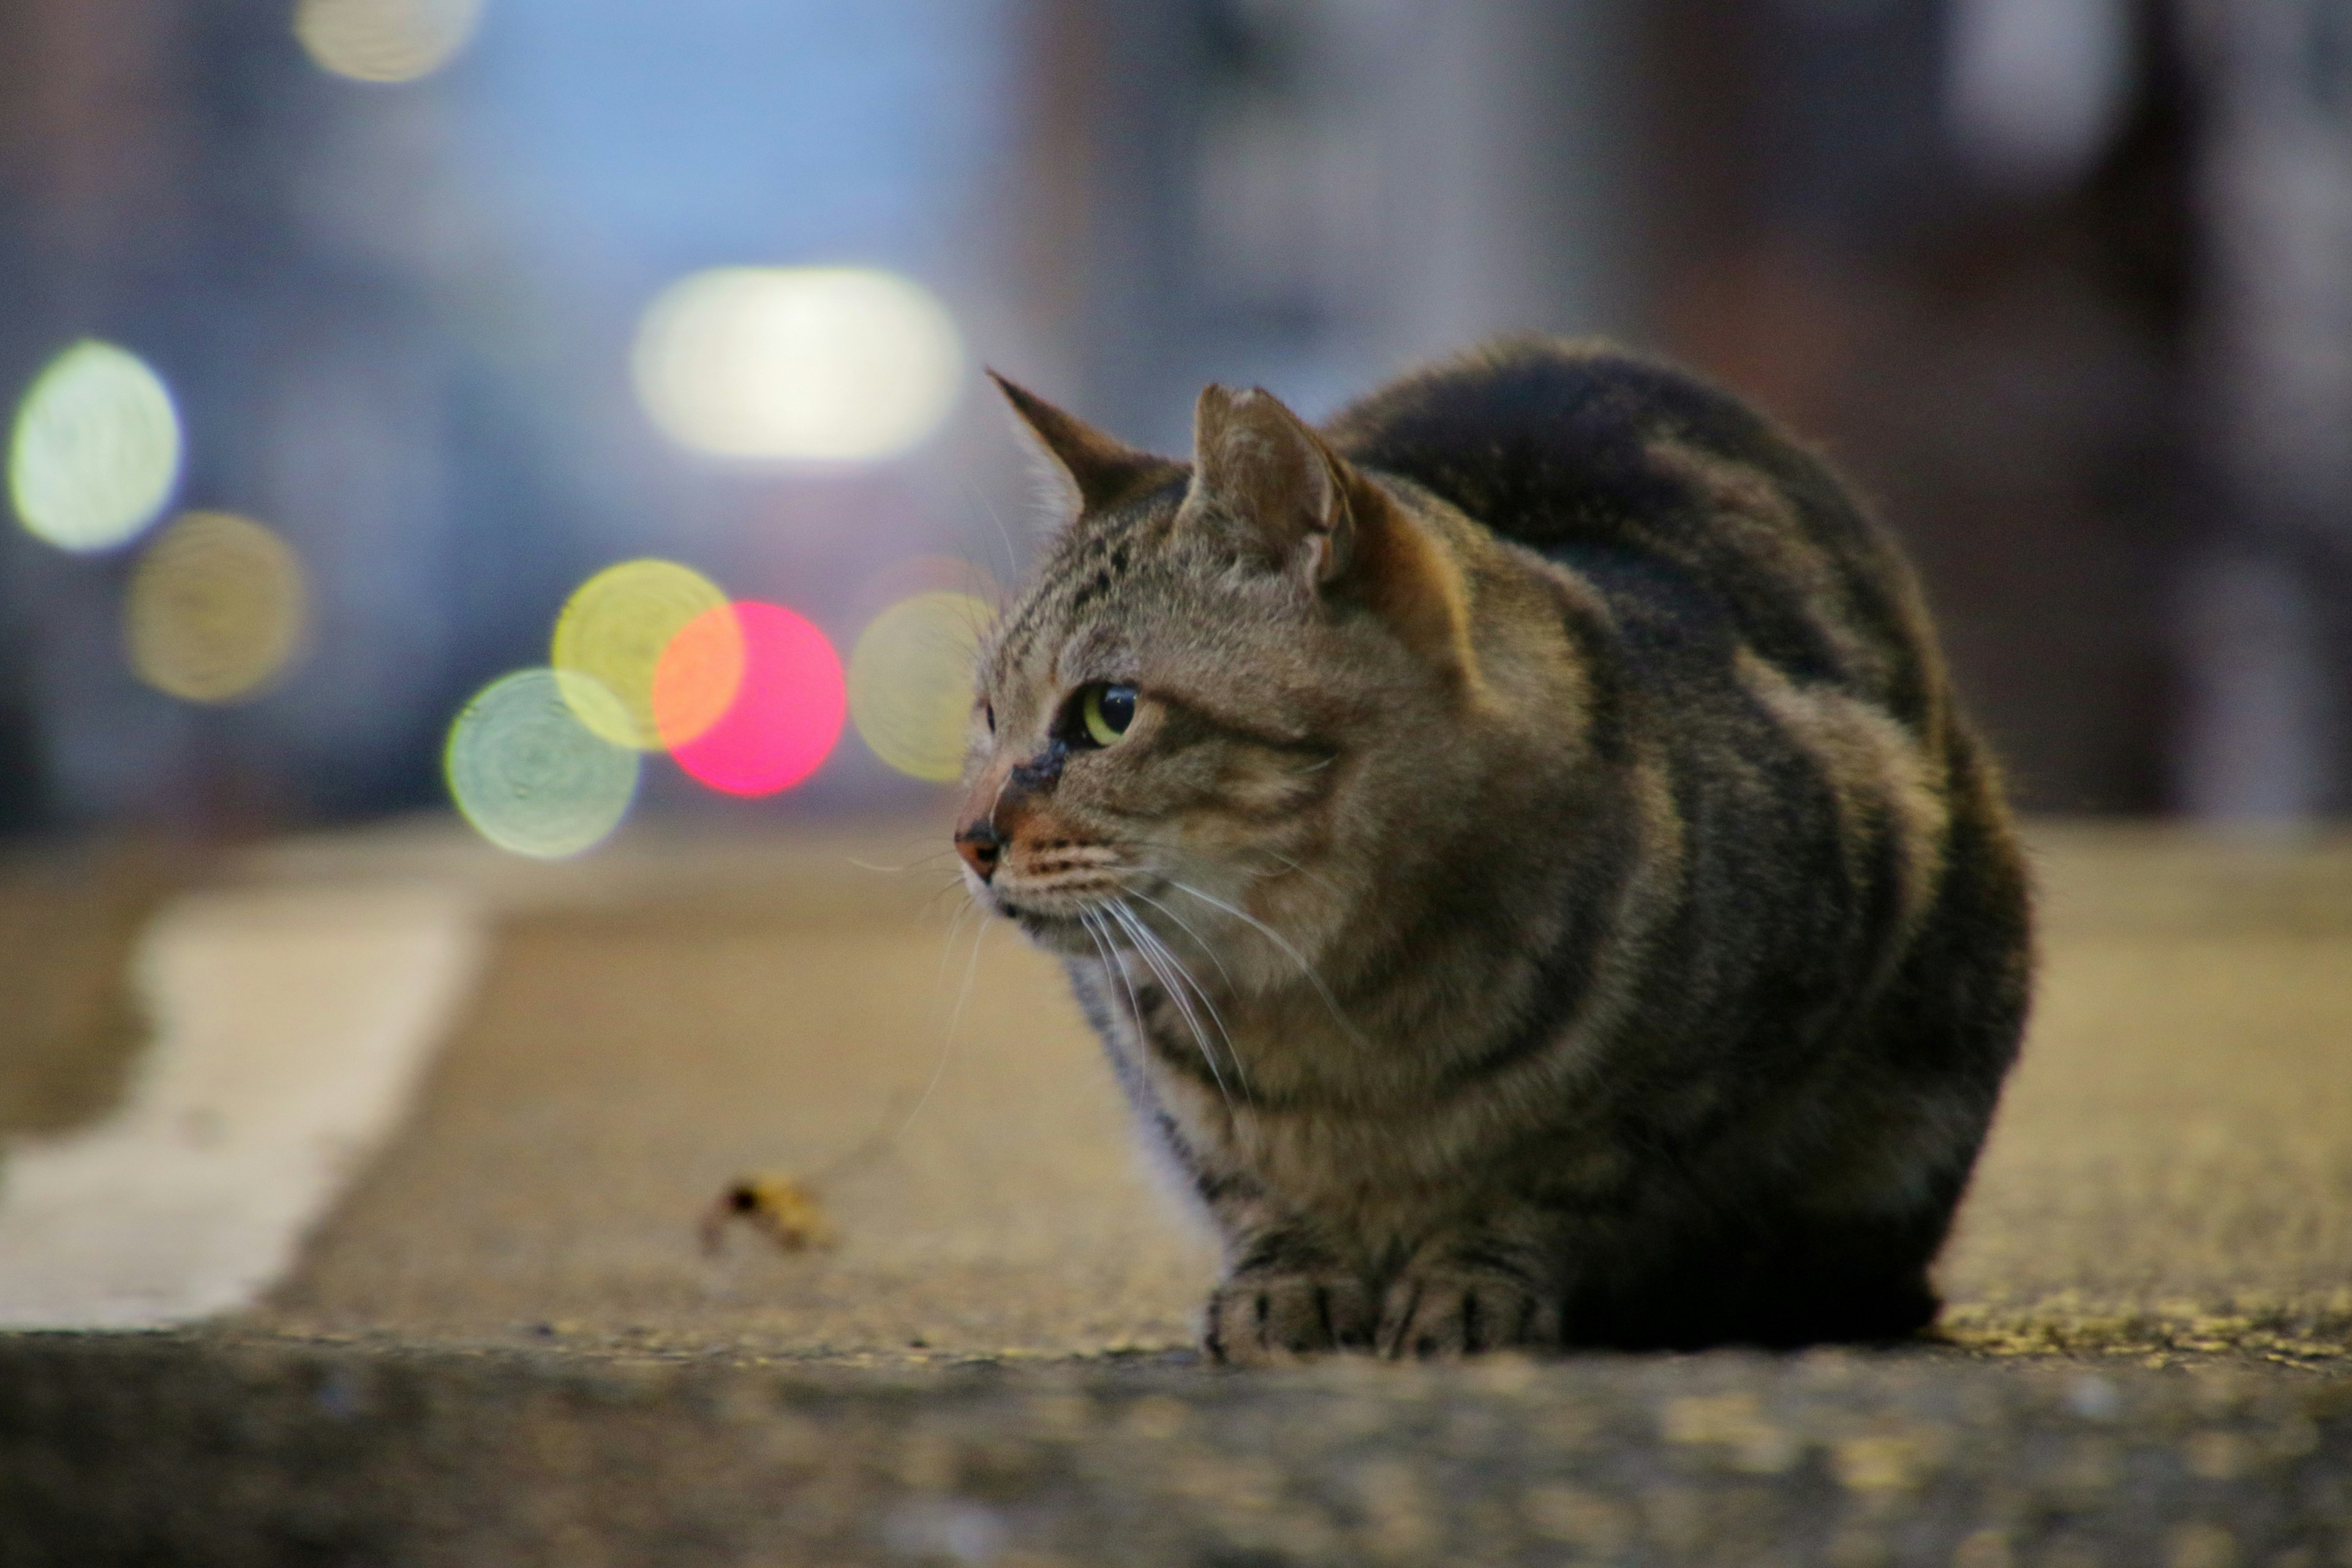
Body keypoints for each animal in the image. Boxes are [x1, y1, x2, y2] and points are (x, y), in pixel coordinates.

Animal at [945, 334, 2032, 1363]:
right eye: (988, 715)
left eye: (1109, 712)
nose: (969, 838)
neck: (1332, 994)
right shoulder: (1148, 1053)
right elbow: (1241, 1177)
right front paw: (1288, 1280)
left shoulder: (1756, 1018)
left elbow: (1559, 1178)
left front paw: (1470, 1280)